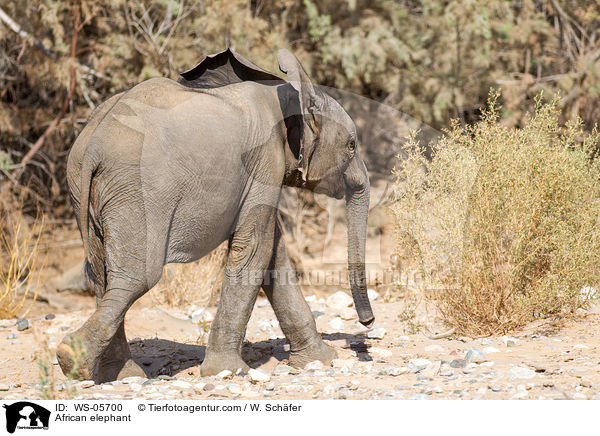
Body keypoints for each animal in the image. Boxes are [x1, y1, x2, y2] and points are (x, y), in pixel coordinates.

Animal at [56, 46, 376, 382]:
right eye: (351, 145)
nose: (368, 323)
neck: (286, 90)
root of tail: (94, 144)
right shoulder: (266, 160)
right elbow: (255, 250)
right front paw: (228, 371)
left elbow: (274, 255)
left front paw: (321, 361)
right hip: (139, 188)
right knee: (137, 276)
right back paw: (72, 358)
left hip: (86, 187)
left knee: (100, 273)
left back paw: (119, 373)